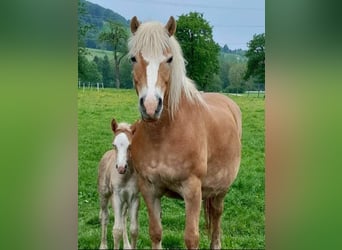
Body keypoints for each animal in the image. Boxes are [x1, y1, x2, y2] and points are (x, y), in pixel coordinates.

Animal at [97, 119, 139, 250]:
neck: (125, 176)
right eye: (114, 145)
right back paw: (103, 245)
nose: (121, 168)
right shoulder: (116, 197)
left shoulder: (134, 198)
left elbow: (134, 230)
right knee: (105, 216)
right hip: (104, 195)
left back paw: (126, 245)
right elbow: (117, 230)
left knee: (124, 218)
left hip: (125, 201)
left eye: (130, 146)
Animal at [128, 16, 243, 249]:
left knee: (217, 216)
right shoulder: (149, 189)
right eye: (134, 58)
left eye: (169, 59)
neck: (163, 135)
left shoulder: (192, 190)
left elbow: (191, 237)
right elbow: (155, 232)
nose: (151, 107)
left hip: (221, 189)